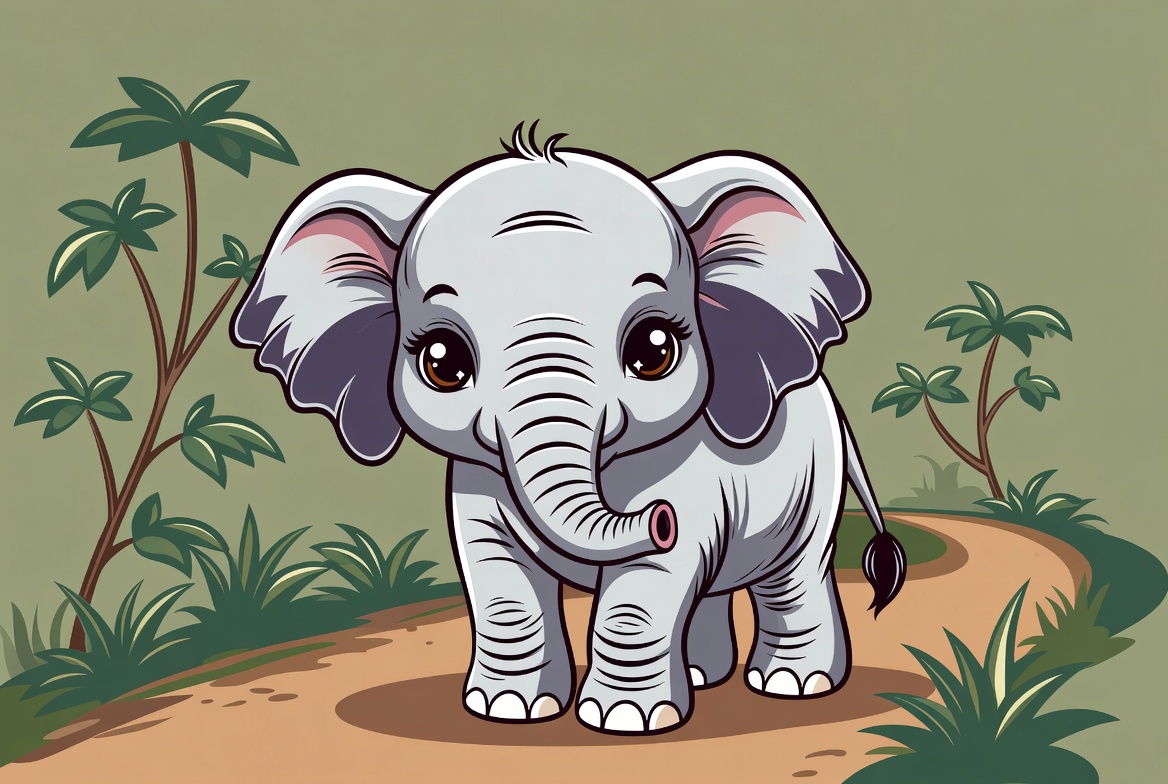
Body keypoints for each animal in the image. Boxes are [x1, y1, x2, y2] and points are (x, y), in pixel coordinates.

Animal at [231, 124, 906, 735]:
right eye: (442, 362)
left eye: (654, 349)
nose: (661, 520)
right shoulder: (477, 481)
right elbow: (498, 574)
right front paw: (507, 710)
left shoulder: (689, 469)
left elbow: (647, 587)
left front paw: (625, 722)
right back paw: (701, 677)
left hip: (815, 482)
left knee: (792, 575)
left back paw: (793, 685)